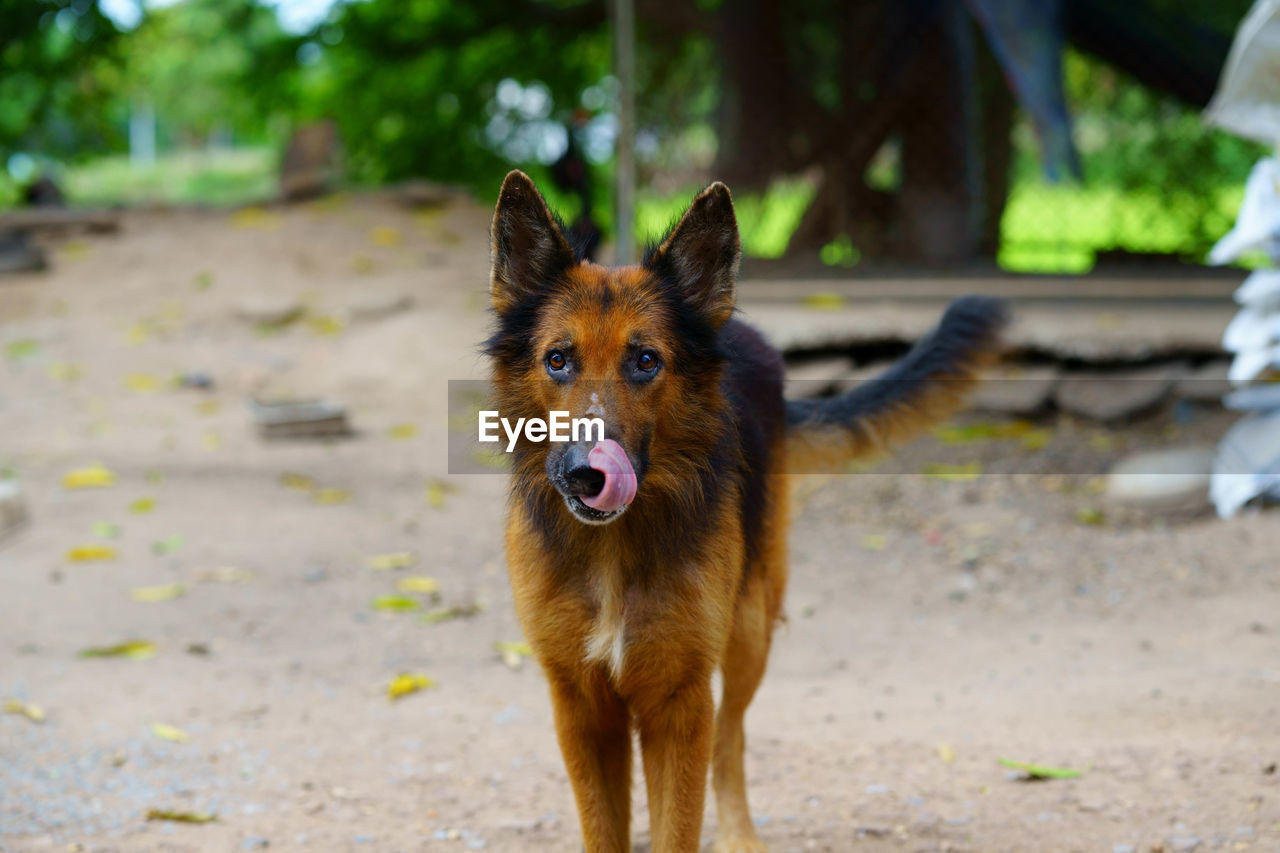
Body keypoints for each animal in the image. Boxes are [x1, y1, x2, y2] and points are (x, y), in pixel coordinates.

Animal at [481, 169, 1008, 845]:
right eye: (557, 359)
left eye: (645, 360)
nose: (585, 474)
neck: (614, 546)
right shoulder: (580, 705)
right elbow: (606, 831)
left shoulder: (681, 701)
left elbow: (683, 819)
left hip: (750, 630)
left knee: (731, 741)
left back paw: (740, 836)